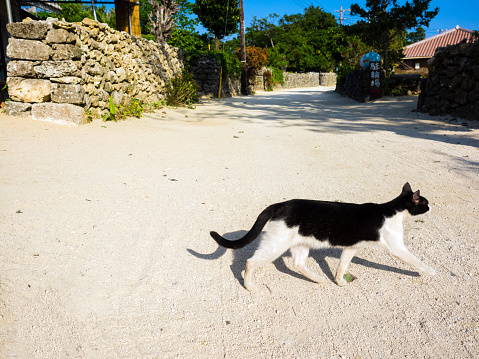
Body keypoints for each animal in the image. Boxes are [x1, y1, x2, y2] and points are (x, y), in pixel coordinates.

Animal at [212, 184, 436, 292]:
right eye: (425, 203)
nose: (431, 206)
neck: (393, 210)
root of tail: (280, 204)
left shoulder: (351, 248)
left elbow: (342, 266)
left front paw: (338, 281)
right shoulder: (397, 248)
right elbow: (416, 261)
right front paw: (430, 271)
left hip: (301, 244)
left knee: (298, 264)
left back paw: (318, 279)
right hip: (276, 245)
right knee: (251, 262)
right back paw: (249, 286)